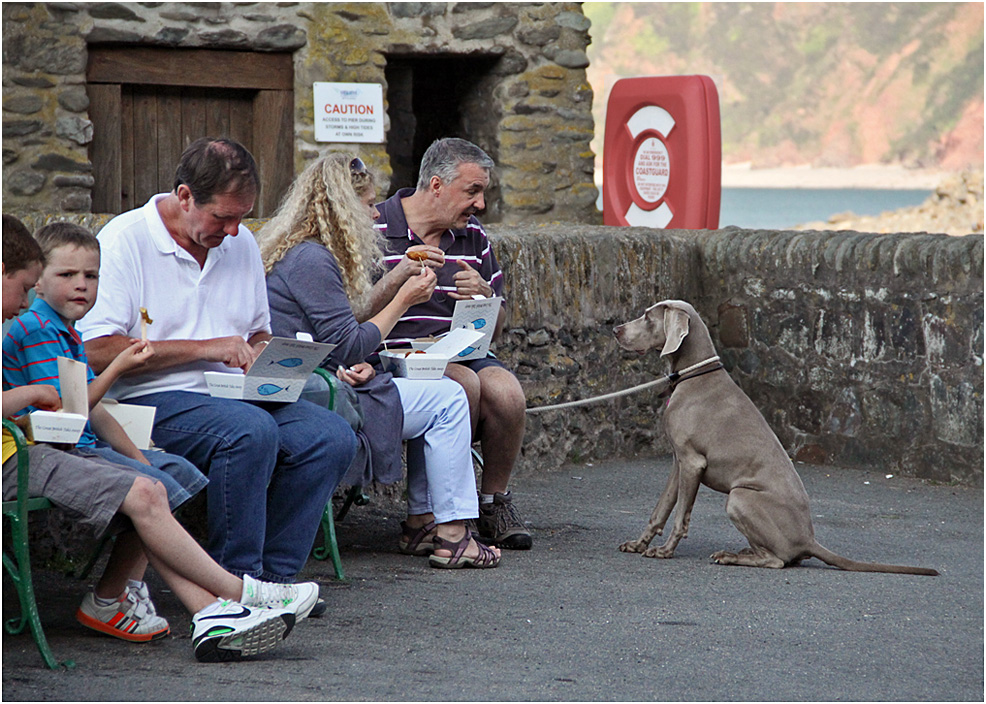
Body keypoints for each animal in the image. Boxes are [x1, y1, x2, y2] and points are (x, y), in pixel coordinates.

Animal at [616, 298, 936, 576]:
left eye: (647, 316)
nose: (616, 330)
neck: (695, 375)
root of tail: (808, 539)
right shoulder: (678, 462)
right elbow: (661, 509)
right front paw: (638, 544)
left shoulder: (693, 462)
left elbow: (681, 515)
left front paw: (665, 551)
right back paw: (741, 552)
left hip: (739, 497)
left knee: (777, 561)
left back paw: (731, 556)